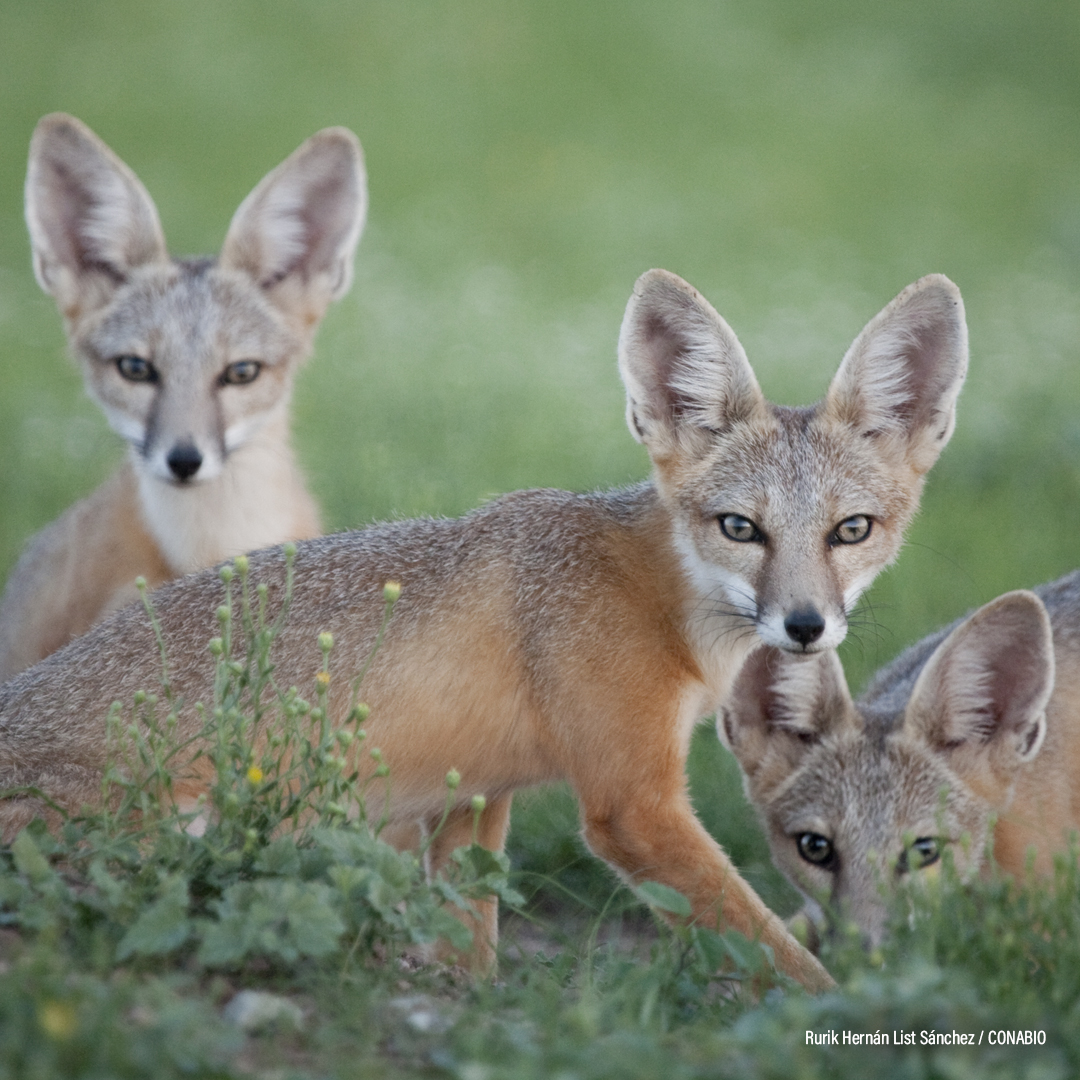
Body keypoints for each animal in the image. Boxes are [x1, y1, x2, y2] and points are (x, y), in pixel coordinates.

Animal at [0, 267, 972, 989]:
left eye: (852, 531)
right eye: (741, 528)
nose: (805, 626)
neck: (656, 601)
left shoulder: (474, 798)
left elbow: (471, 945)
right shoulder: (633, 808)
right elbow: (777, 950)